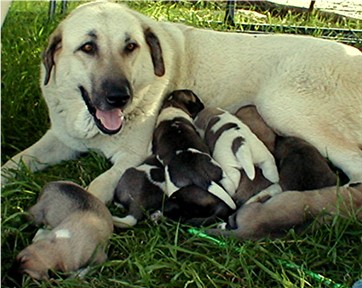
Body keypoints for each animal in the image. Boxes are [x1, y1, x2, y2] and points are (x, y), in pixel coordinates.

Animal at [2, 0, 362, 207]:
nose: (120, 96)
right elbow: (13, 163)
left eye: (130, 46)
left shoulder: (131, 156)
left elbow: (95, 187)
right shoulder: (60, 139)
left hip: (281, 106)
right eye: (88, 48)